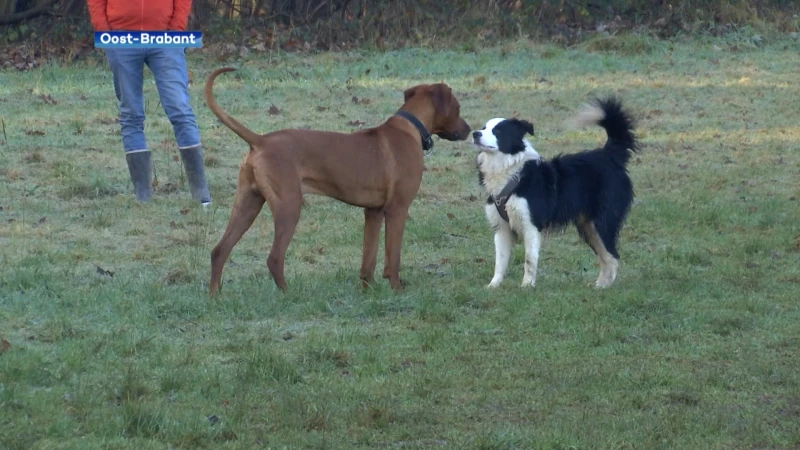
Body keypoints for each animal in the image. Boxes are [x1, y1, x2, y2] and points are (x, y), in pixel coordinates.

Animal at [203, 66, 472, 292]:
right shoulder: (397, 209)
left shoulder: (373, 212)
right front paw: (396, 288)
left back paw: (215, 295)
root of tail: (259, 140)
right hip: (288, 206)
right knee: (274, 258)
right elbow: (392, 257)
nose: (470, 130)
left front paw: (368, 289)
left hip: (247, 204)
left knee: (219, 250)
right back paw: (288, 294)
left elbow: (368, 257)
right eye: (458, 108)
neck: (410, 128)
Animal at [476, 96, 636, 290]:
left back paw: (603, 288)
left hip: (602, 221)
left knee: (612, 256)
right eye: (484, 128)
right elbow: (500, 261)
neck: (510, 171)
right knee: (606, 257)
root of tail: (610, 155)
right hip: (588, 226)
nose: (475, 134)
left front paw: (527, 286)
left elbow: (529, 260)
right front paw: (493, 286)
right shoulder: (501, 228)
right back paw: (599, 286)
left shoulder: (531, 224)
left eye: (498, 131)